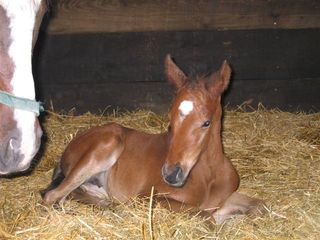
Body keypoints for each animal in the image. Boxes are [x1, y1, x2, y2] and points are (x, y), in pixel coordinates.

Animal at [43, 54, 268, 223]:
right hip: (108, 143)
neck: (209, 175)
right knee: (50, 196)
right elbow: (206, 217)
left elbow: (261, 206)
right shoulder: (147, 197)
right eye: (170, 122)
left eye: (206, 122)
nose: (171, 174)